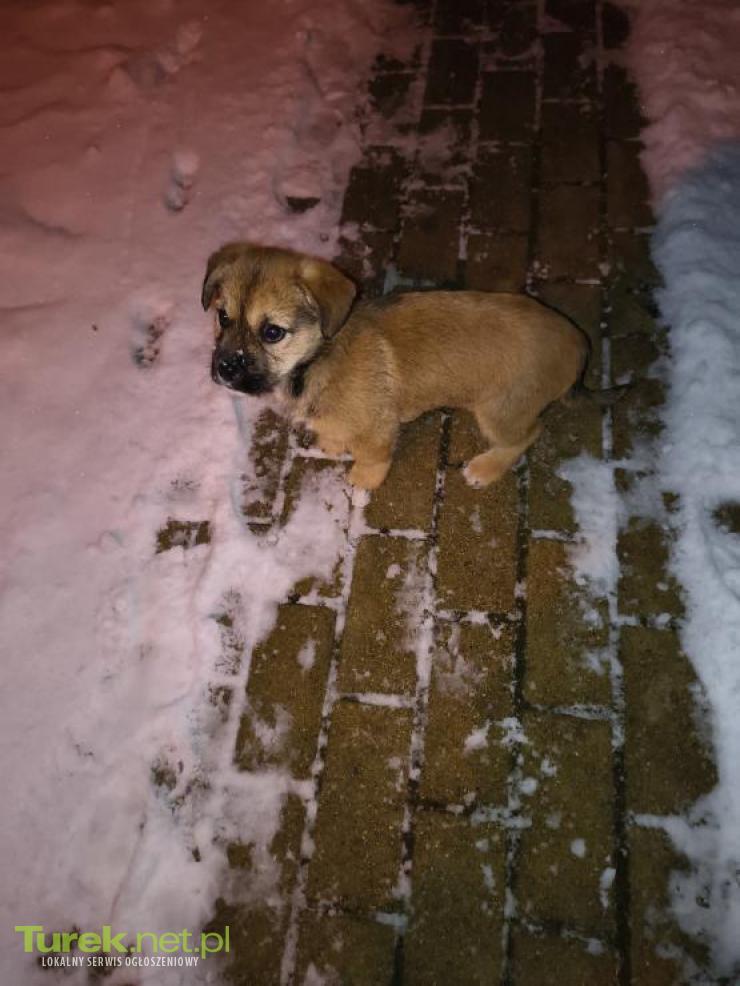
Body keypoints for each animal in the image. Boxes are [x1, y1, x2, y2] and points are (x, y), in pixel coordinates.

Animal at [201, 243, 590, 490]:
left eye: (272, 332)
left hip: (500, 412)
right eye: (223, 318)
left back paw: (485, 468)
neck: (316, 359)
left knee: (529, 434)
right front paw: (331, 443)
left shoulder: (378, 429)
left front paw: (363, 481)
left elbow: (372, 458)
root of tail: (577, 340)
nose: (224, 369)